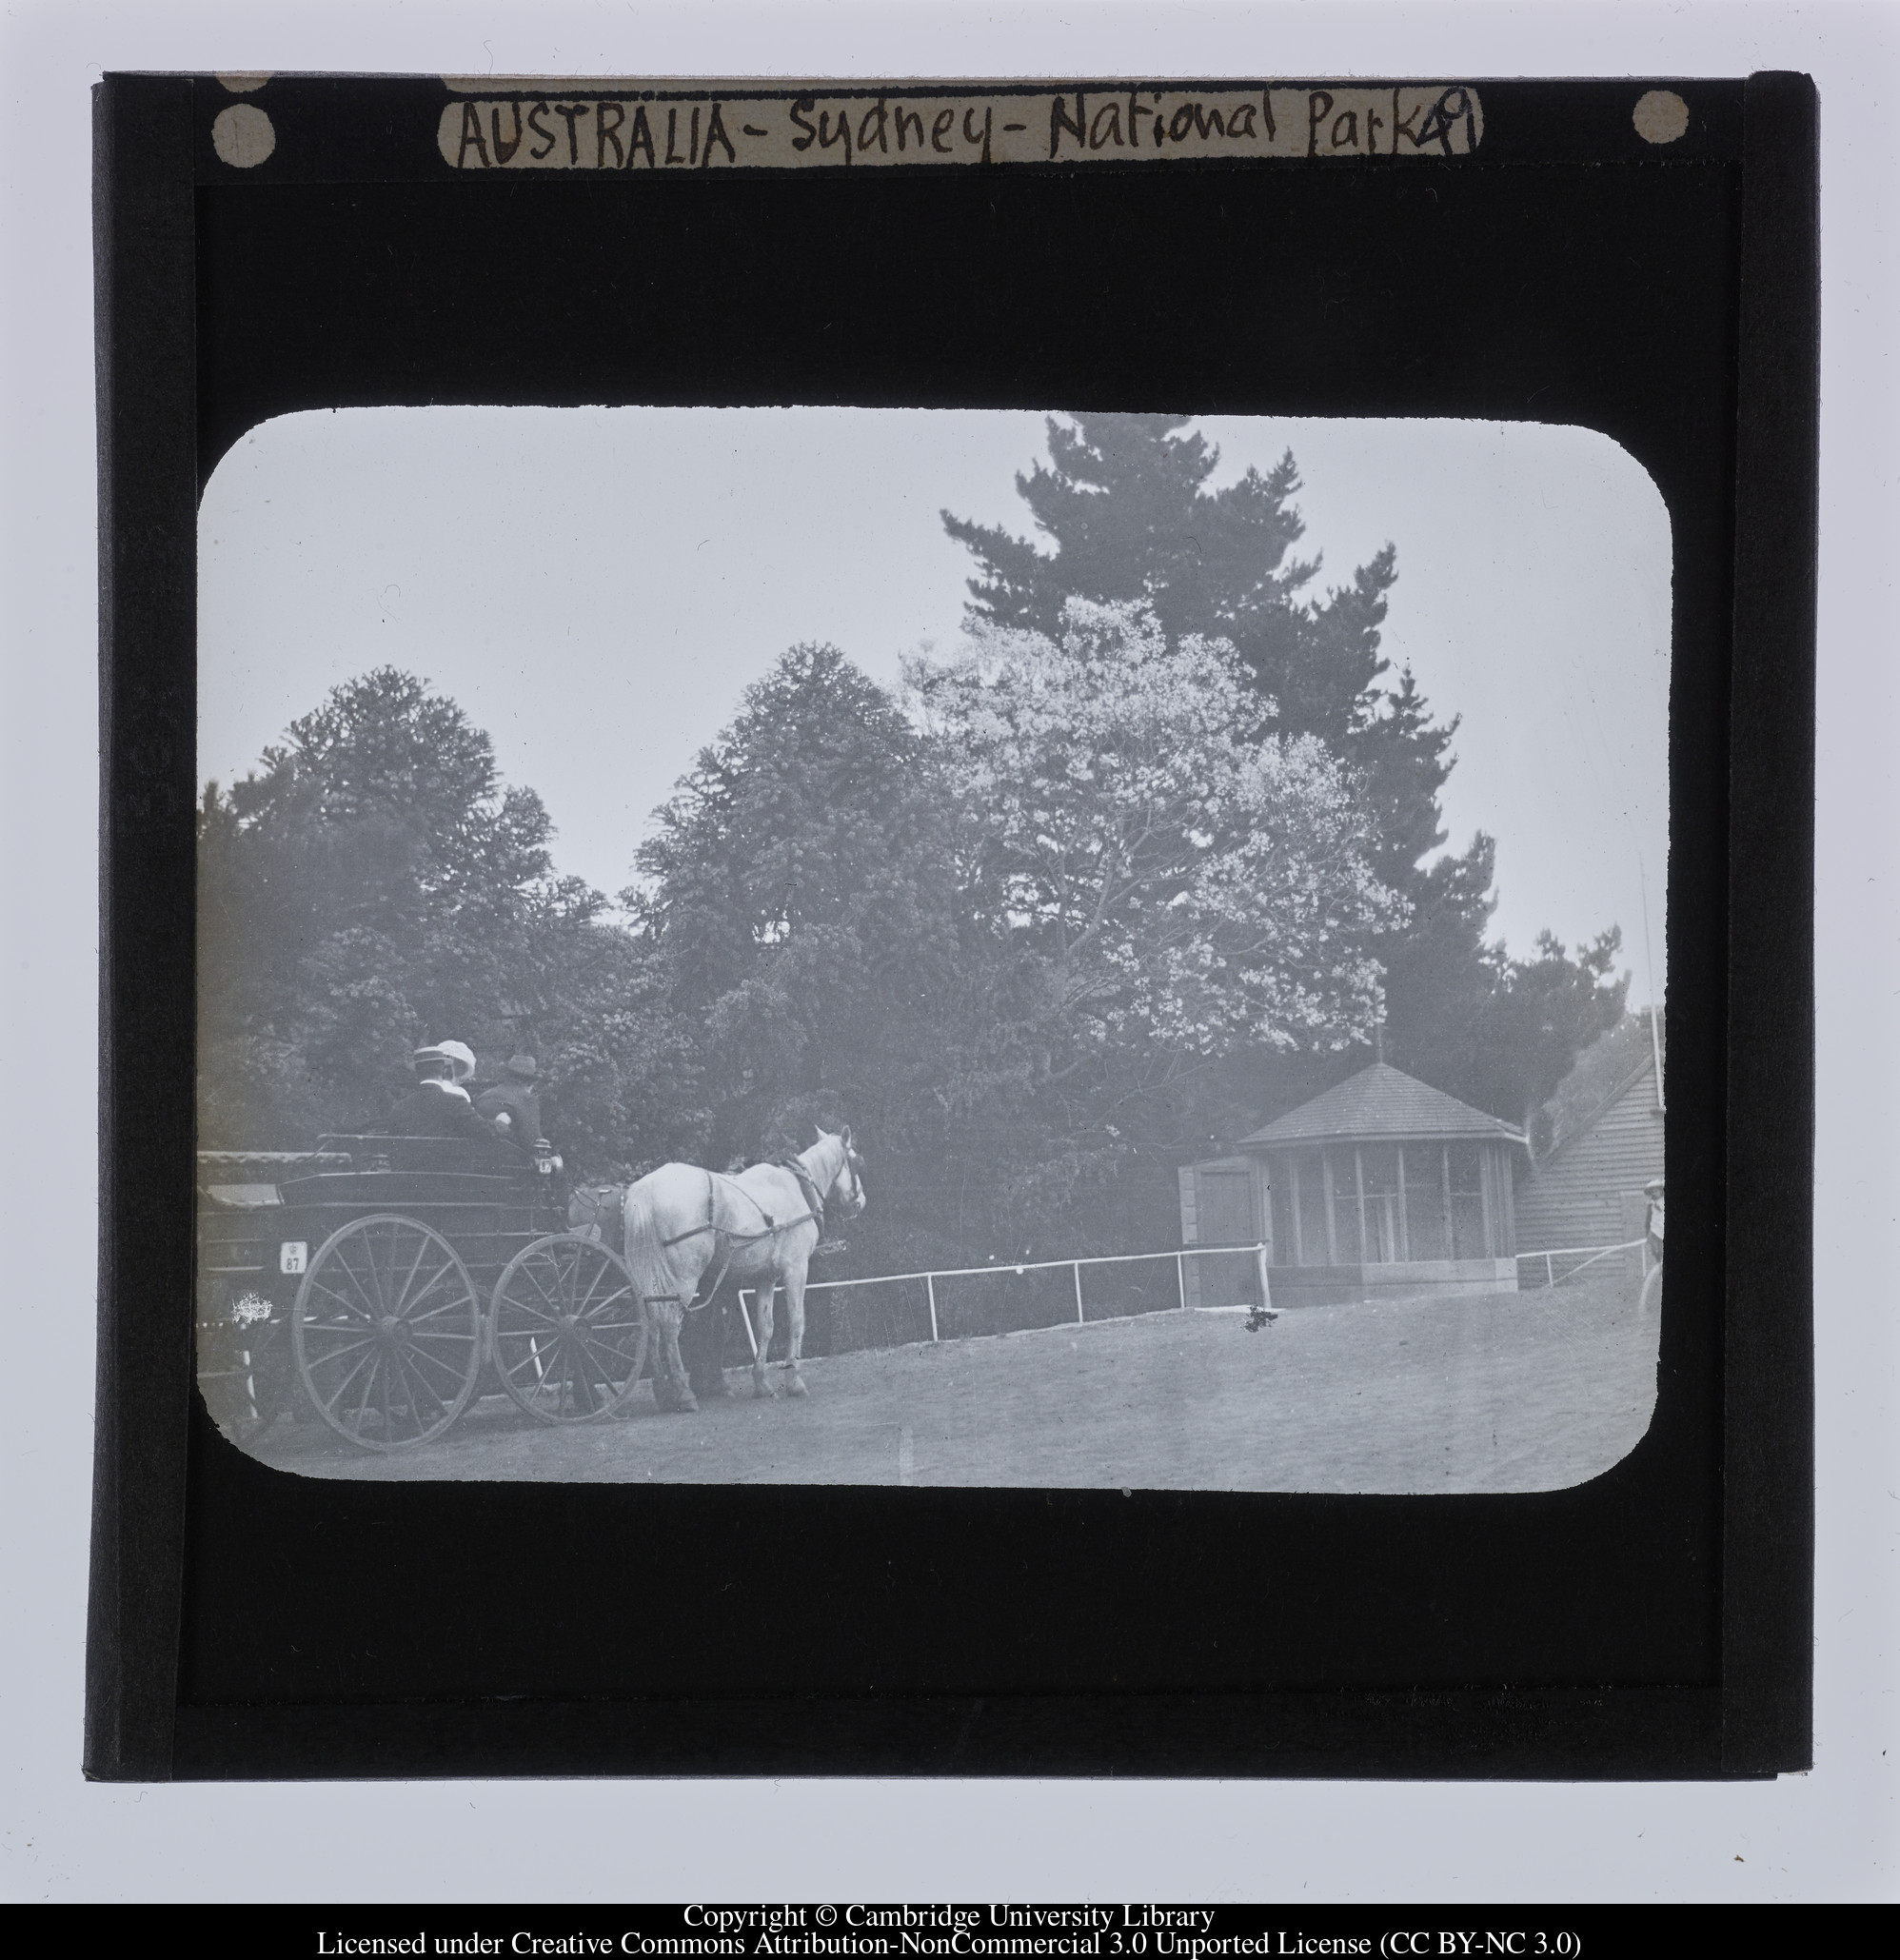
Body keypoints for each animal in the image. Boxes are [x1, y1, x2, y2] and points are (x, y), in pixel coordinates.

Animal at [619, 1137, 862, 1411]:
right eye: (856, 1162)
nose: (860, 1201)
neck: (799, 1188)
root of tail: (645, 1191)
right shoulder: (796, 1270)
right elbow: (797, 1322)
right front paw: (794, 1382)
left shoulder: (767, 1277)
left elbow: (765, 1327)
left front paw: (762, 1383)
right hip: (682, 1279)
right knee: (670, 1325)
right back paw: (683, 1393)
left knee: (650, 1323)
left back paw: (662, 1392)